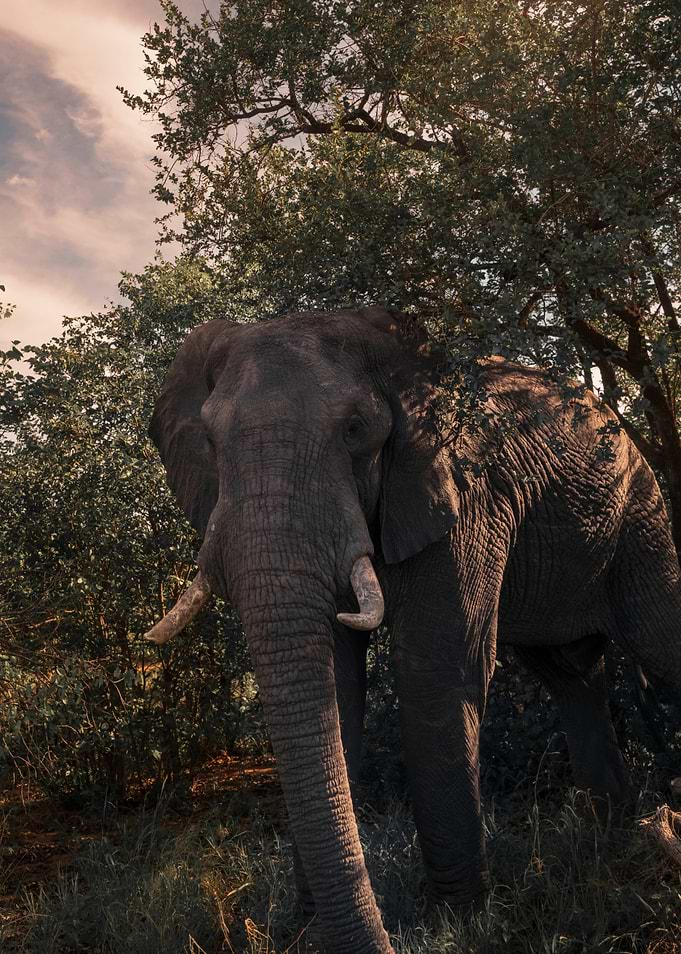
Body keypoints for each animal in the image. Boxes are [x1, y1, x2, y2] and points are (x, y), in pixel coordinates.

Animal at [145, 306, 681, 954]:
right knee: (572, 675)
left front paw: (459, 922)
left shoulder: (466, 495)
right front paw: (310, 930)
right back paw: (611, 842)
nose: (383, 937)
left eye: (355, 430)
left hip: (640, 513)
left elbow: (436, 673)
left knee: (658, 639)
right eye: (210, 442)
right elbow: (337, 686)